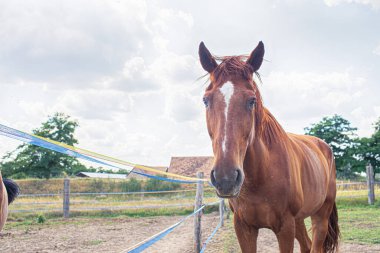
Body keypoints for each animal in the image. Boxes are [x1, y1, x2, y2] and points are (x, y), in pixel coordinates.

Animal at [200, 42, 340, 253]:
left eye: (252, 100)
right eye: (206, 100)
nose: (226, 178)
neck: (260, 175)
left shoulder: (285, 227)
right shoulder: (243, 227)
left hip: (320, 216)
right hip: (300, 220)